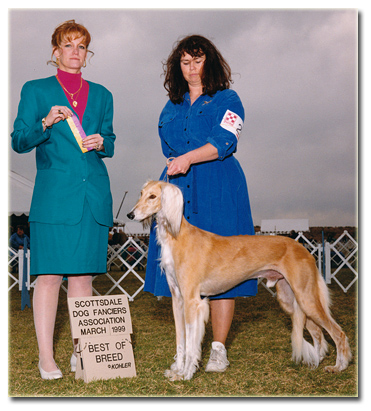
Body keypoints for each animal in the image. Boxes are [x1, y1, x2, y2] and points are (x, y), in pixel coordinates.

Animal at [128, 182, 352, 382]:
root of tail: (304, 249)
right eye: (141, 193)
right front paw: (177, 370)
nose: (130, 215)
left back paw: (338, 367)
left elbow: (191, 344)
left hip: (305, 297)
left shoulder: (193, 301)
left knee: (337, 333)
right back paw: (317, 361)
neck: (177, 235)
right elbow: (180, 341)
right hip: (291, 299)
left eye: (153, 196)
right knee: (318, 333)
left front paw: (186, 374)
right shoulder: (177, 299)